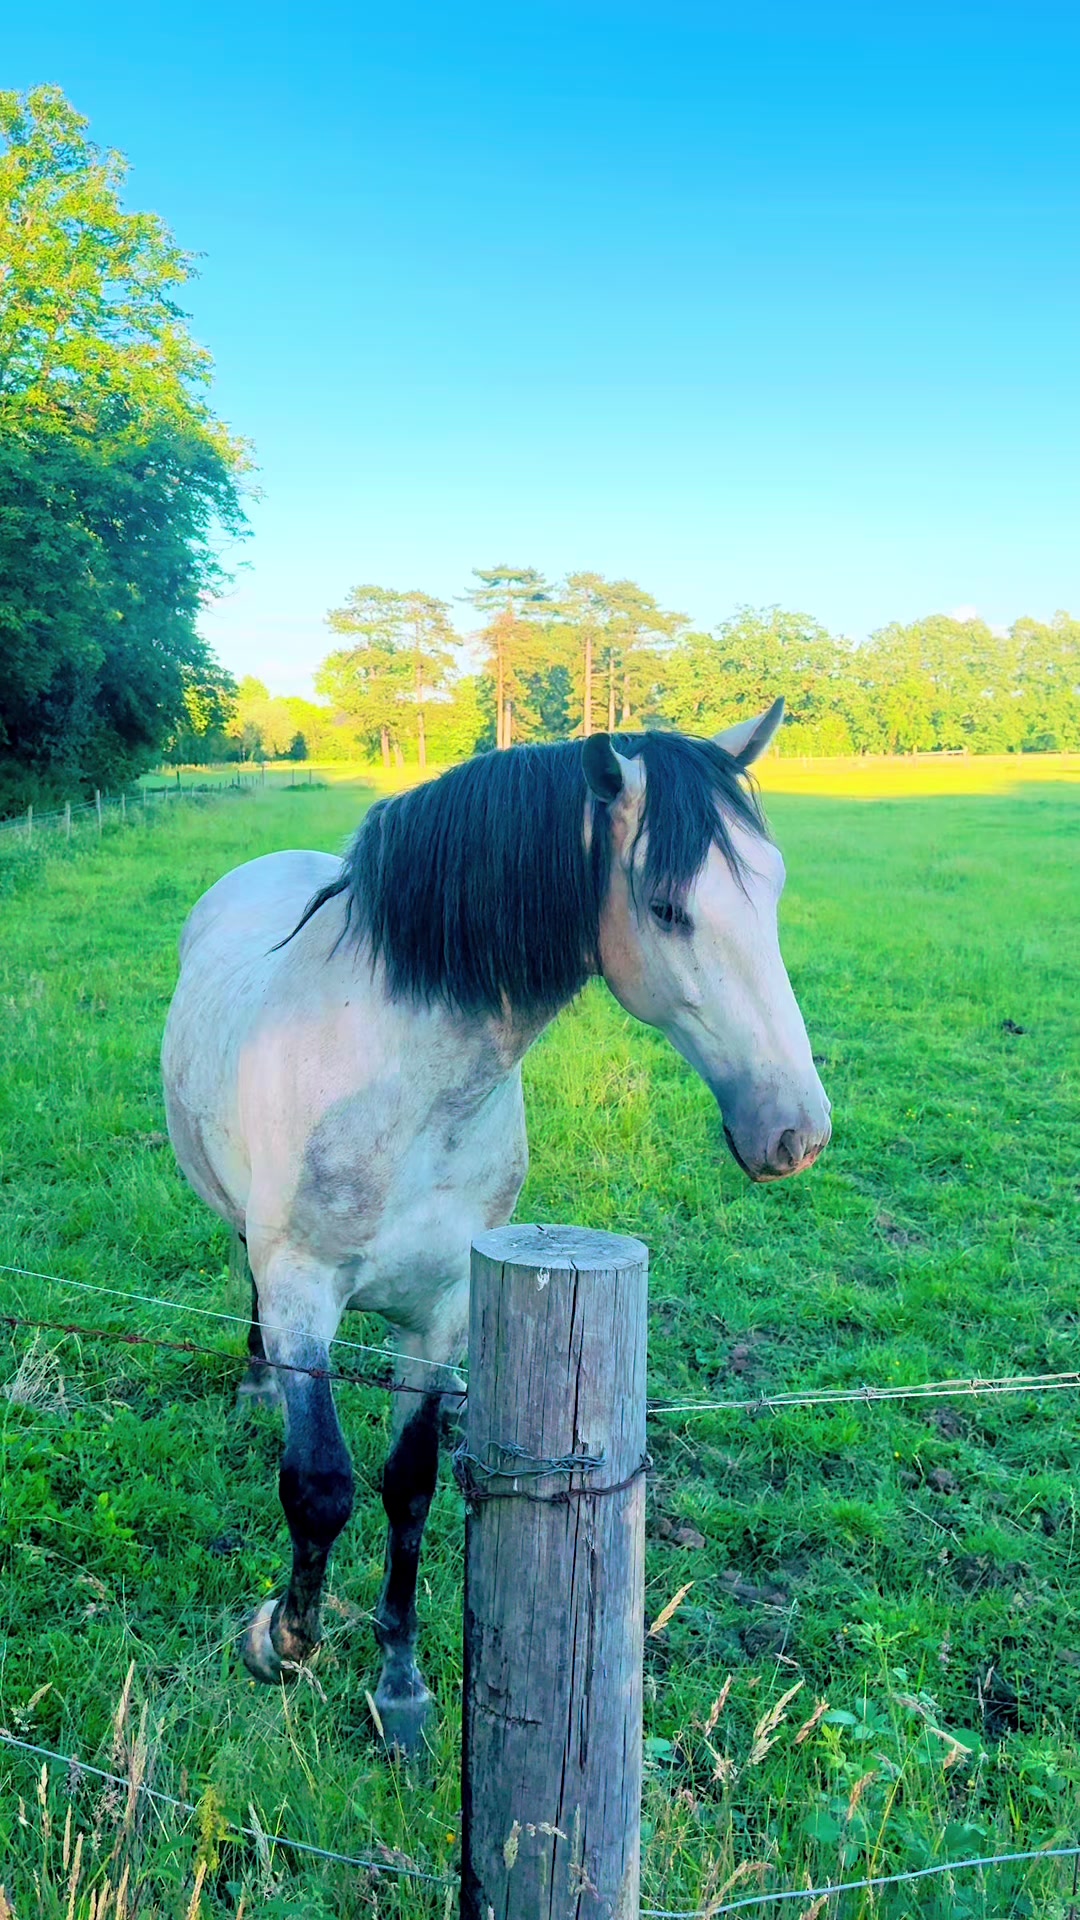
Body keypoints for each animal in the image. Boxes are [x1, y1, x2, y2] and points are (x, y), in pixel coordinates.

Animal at [161, 701, 830, 1751]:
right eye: (667, 908)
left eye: (773, 887)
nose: (795, 1132)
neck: (398, 1082)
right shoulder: (308, 1290)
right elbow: (319, 1485)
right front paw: (284, 1639)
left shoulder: (441, 1311)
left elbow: (409, 1487)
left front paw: (399, 1687)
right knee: (250, 1280)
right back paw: (257, 1385)